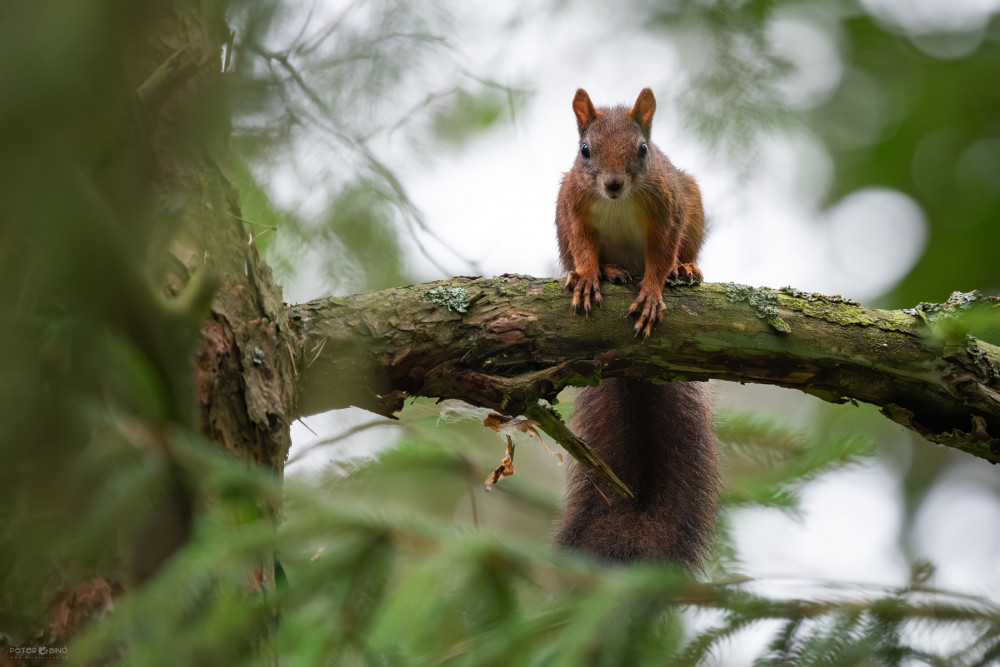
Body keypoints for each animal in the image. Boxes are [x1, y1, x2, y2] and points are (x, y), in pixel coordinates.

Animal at [556, 88, 720, 568]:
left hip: (691, 196)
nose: (612, 185)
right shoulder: (573, 203)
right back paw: (609, 272)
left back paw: (684, 269)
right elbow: (582, 244)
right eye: (585, 150)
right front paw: (589, 274)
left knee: (681, 252)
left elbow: (662, 253)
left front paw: (652, 290)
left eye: (643, 150)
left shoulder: (668, 208)